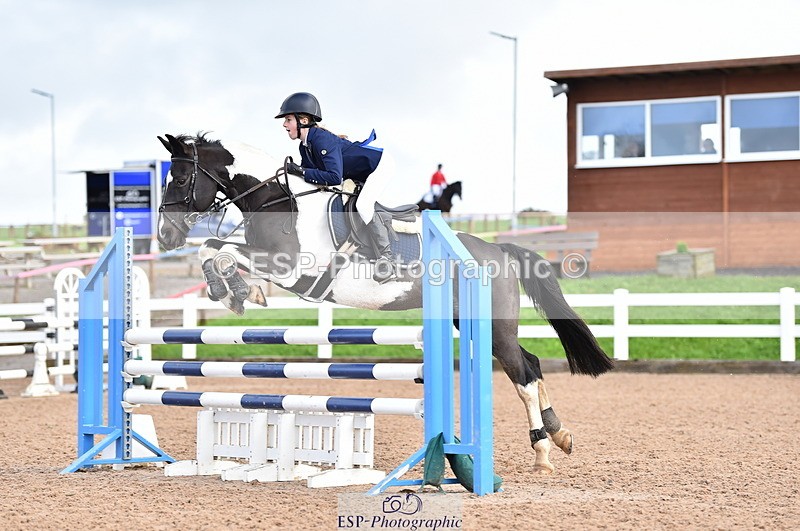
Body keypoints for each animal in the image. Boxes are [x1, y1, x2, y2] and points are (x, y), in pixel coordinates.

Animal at [156, 133, 613, 475]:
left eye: (178, 179)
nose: (165, 236)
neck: (277, 202)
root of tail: (496, 249)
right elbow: (214, 248)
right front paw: (231, 292)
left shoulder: (292, 271)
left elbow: (222, 251)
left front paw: (238, 290)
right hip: (471, 322)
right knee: (531, 364)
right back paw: (560, 435)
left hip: (493, 326)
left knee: (523, 376)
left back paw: (542, 452)